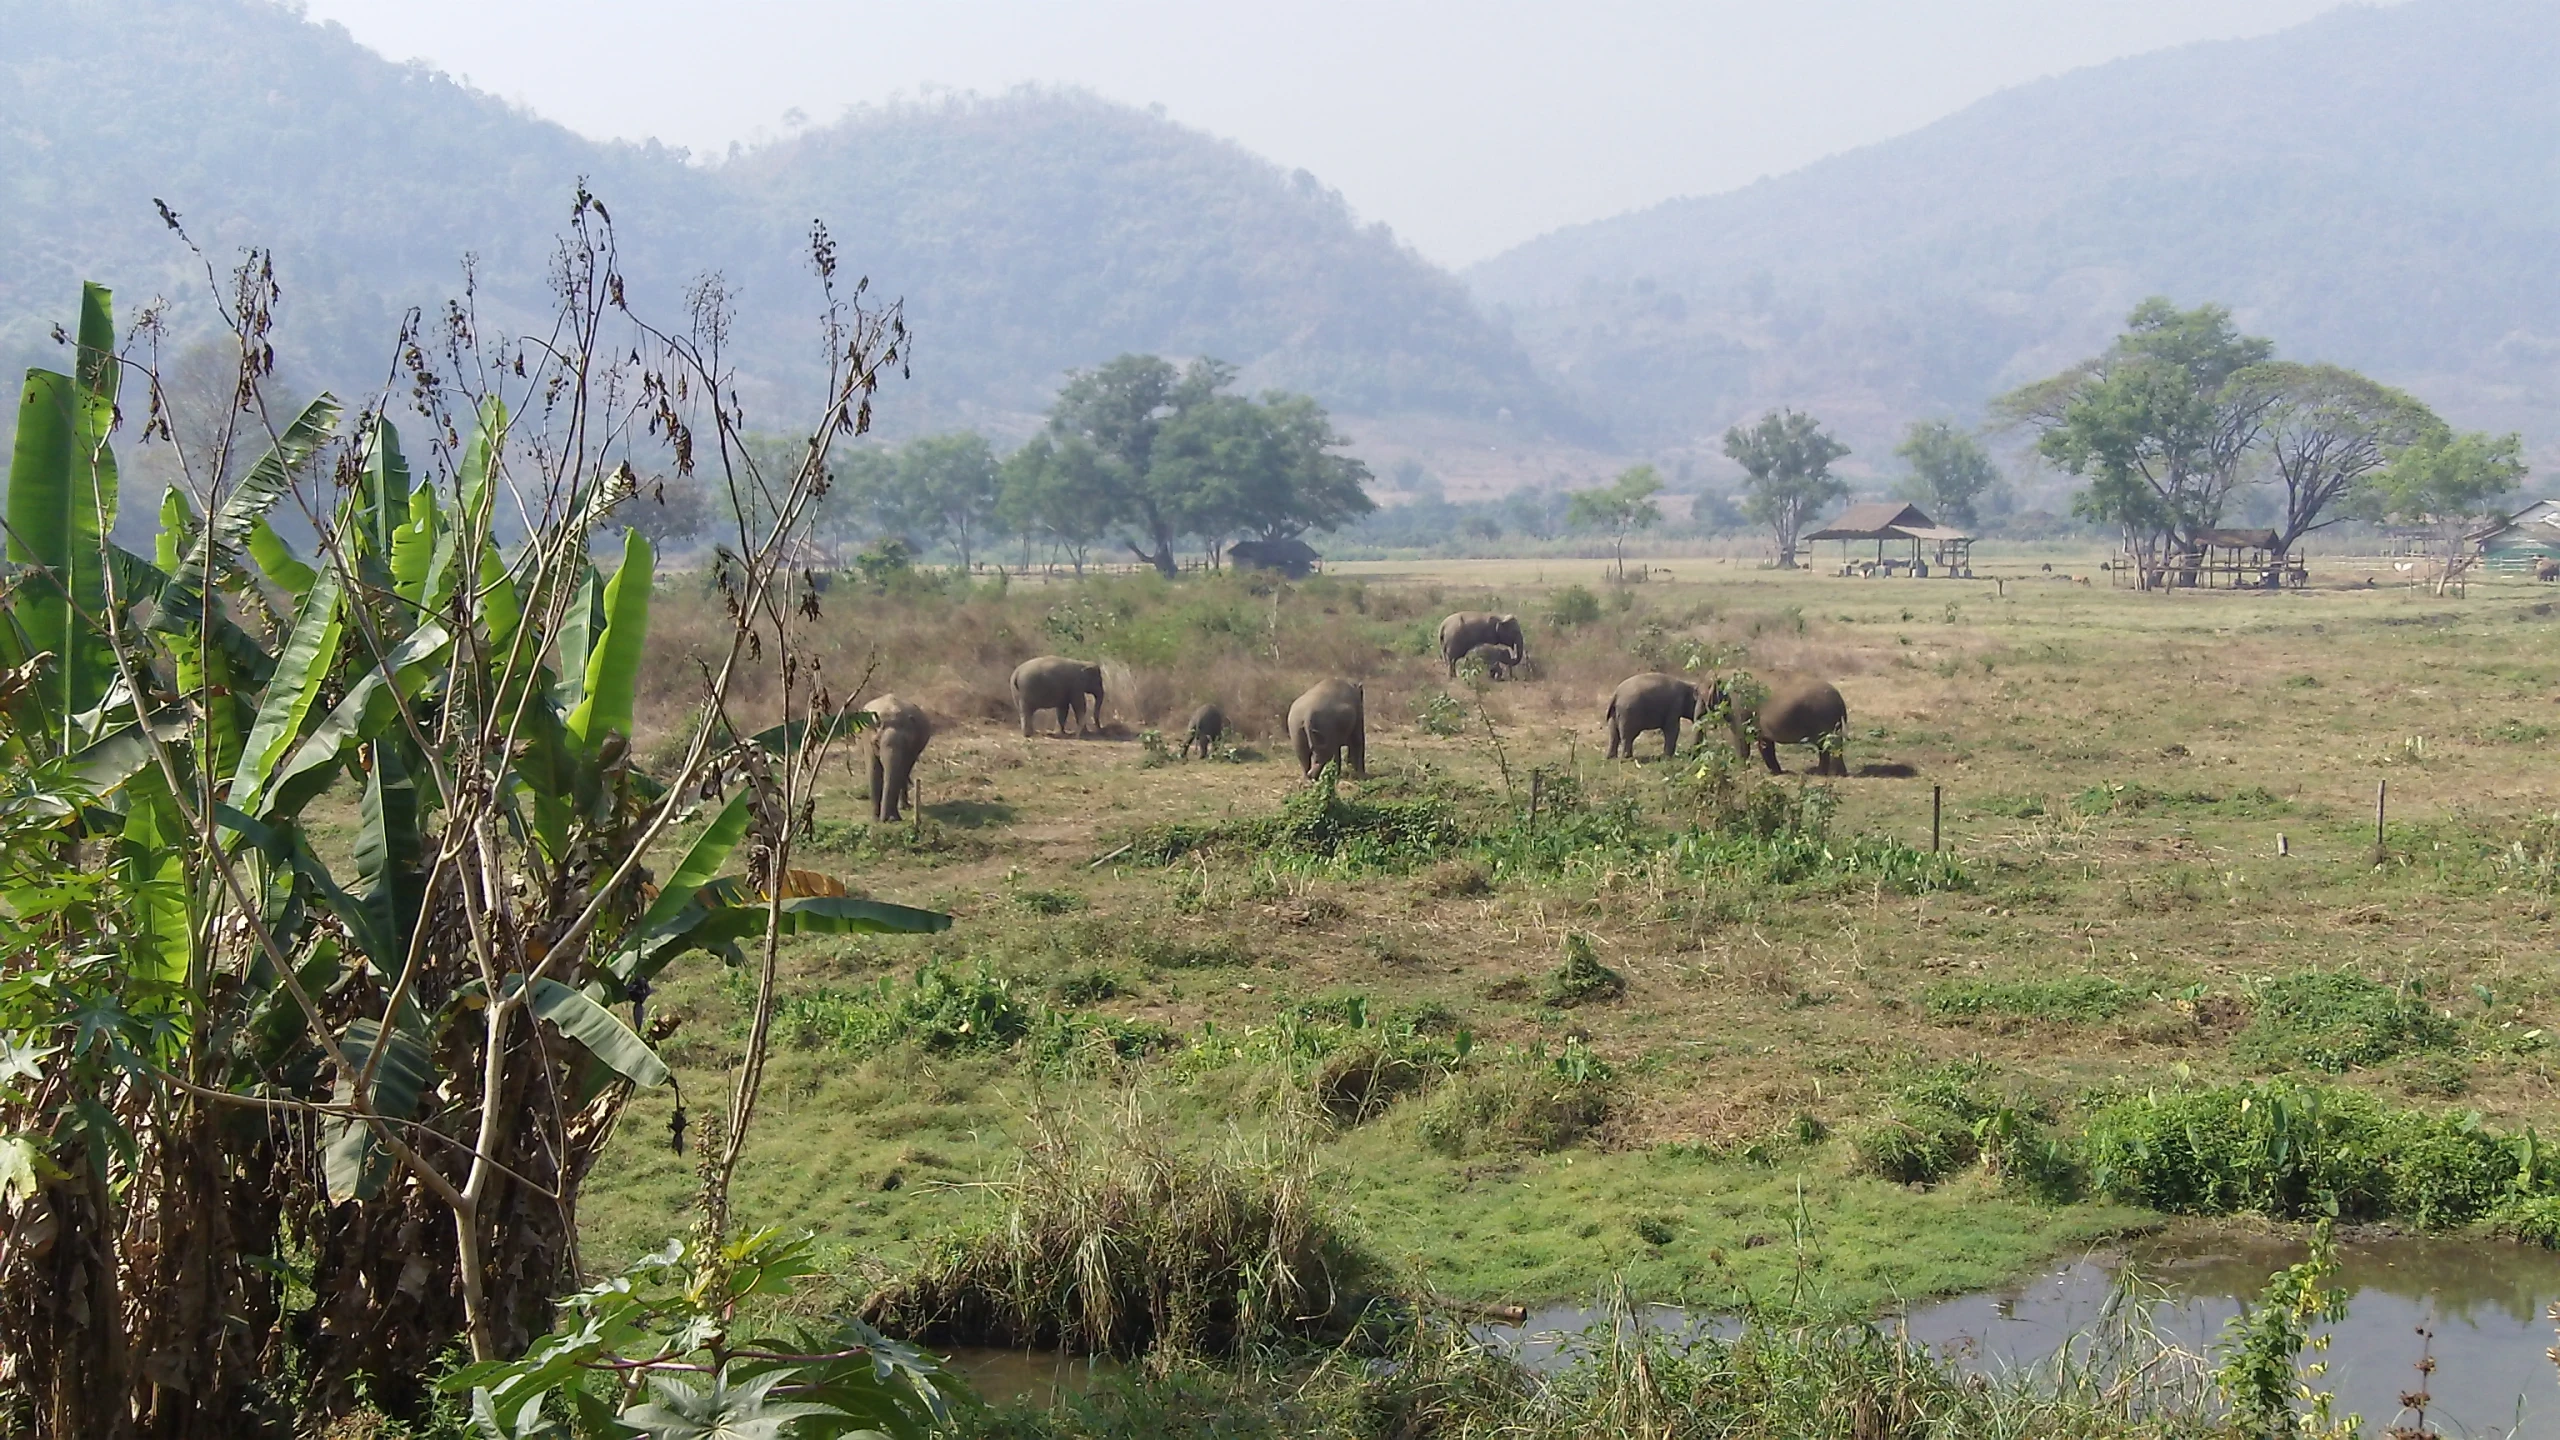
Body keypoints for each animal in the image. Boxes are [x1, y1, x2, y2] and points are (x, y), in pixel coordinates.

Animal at [865, 691, 936, 819]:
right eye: (877, 742)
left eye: (906, 742)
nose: (886, 820)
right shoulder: (867, 740)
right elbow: (873, 771)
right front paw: (875, 818)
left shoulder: (911, 748)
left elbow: (899, 771)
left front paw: (893, 818)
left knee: (905, 771)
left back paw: (904, 807)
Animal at [1710, 671, 1853, 773]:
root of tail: (1840, 700)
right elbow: (1764, 743)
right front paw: (1776, 772)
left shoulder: (1739, 706)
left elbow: (1741, 735)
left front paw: (1740, 770)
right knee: (1828, 744)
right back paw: (1827, 772)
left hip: (1825, 717)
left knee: (1830, 743)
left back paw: (1831, 773)